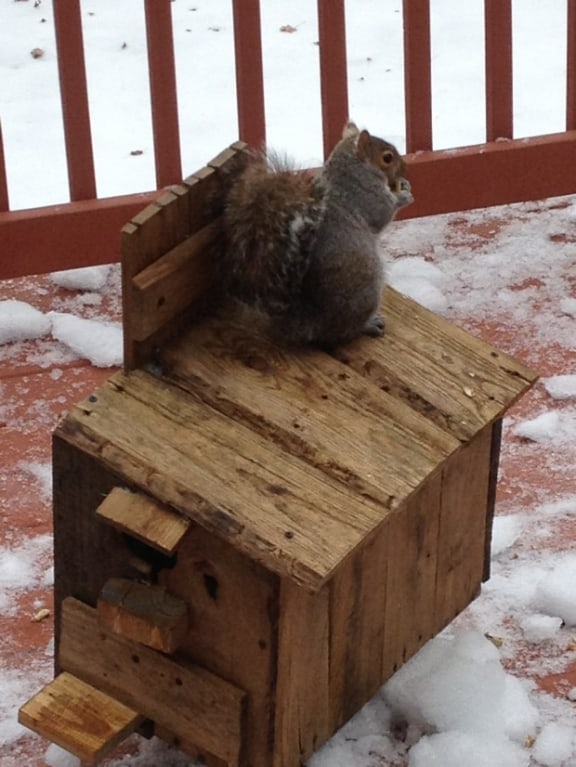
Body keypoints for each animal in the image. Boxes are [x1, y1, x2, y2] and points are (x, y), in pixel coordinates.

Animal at [218, 122, 412, 348]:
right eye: (387, 158)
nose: (405, 168)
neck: (352, 167)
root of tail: (312, 322)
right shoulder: (365, 195)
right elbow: (382, 214)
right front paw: (404, 194)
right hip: (367, 287)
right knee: (343, 331)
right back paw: (368, 325)